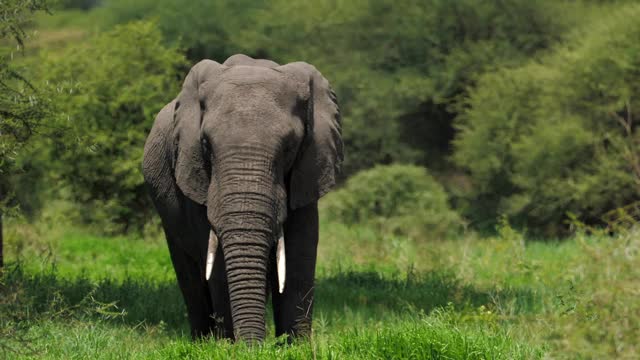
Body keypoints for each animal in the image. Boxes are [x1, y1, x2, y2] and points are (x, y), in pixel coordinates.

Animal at [142, 54, 342, 342]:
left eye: (289, 147)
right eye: (205, 144)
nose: (256, 346)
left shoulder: (308, 171)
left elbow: (298, 255)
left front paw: (297, 345)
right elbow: (218, 266)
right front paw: (228, 345)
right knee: (189, 276)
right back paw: (202, 339)